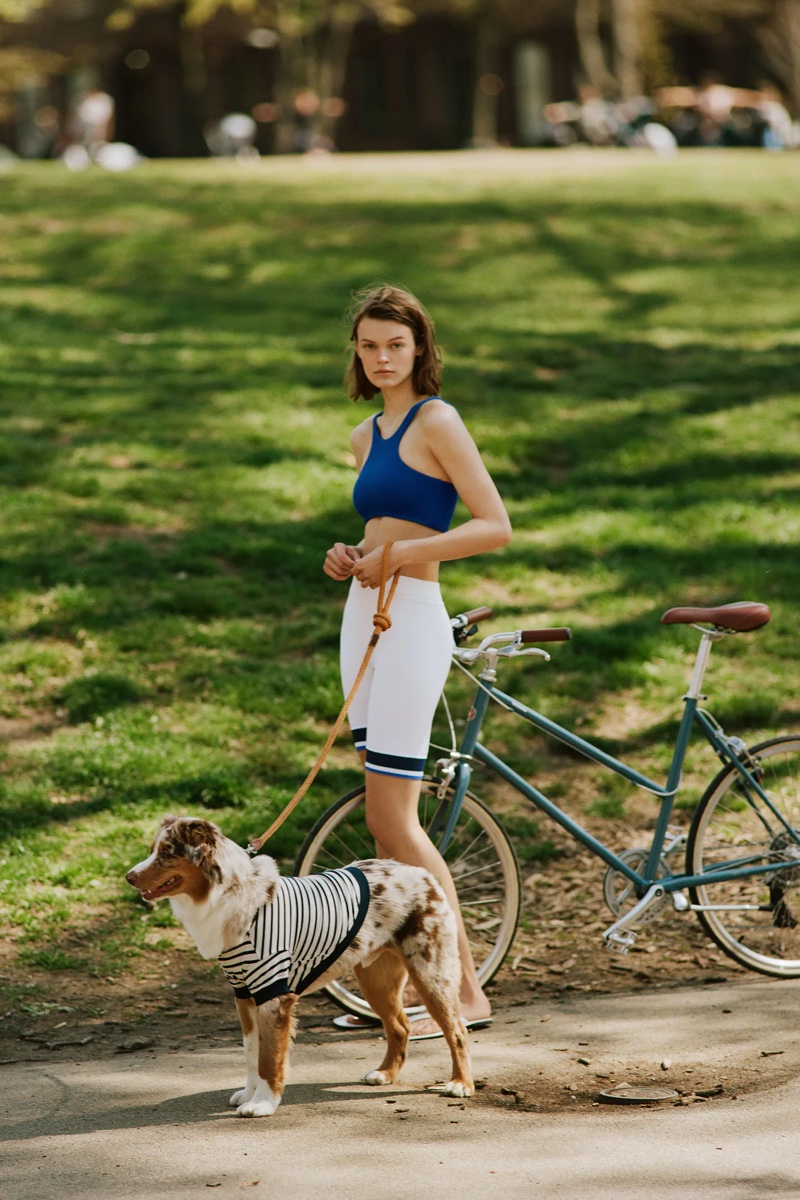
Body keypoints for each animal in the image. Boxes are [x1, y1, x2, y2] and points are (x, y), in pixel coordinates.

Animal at [125, 816, 474, 1113]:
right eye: (153, 850)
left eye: (166, 853)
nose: (129, 876)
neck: (233, 894)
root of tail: (420, 872)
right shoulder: (244, 996)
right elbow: (251, 1055)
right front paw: (249, 1094)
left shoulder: (273, 994)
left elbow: (269, 1057)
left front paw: (263, 1104)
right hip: (375, 979)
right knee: (400, 1026)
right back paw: (385, 1073)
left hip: (431, 973)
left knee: (457, 1030)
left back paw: (460, 1083)